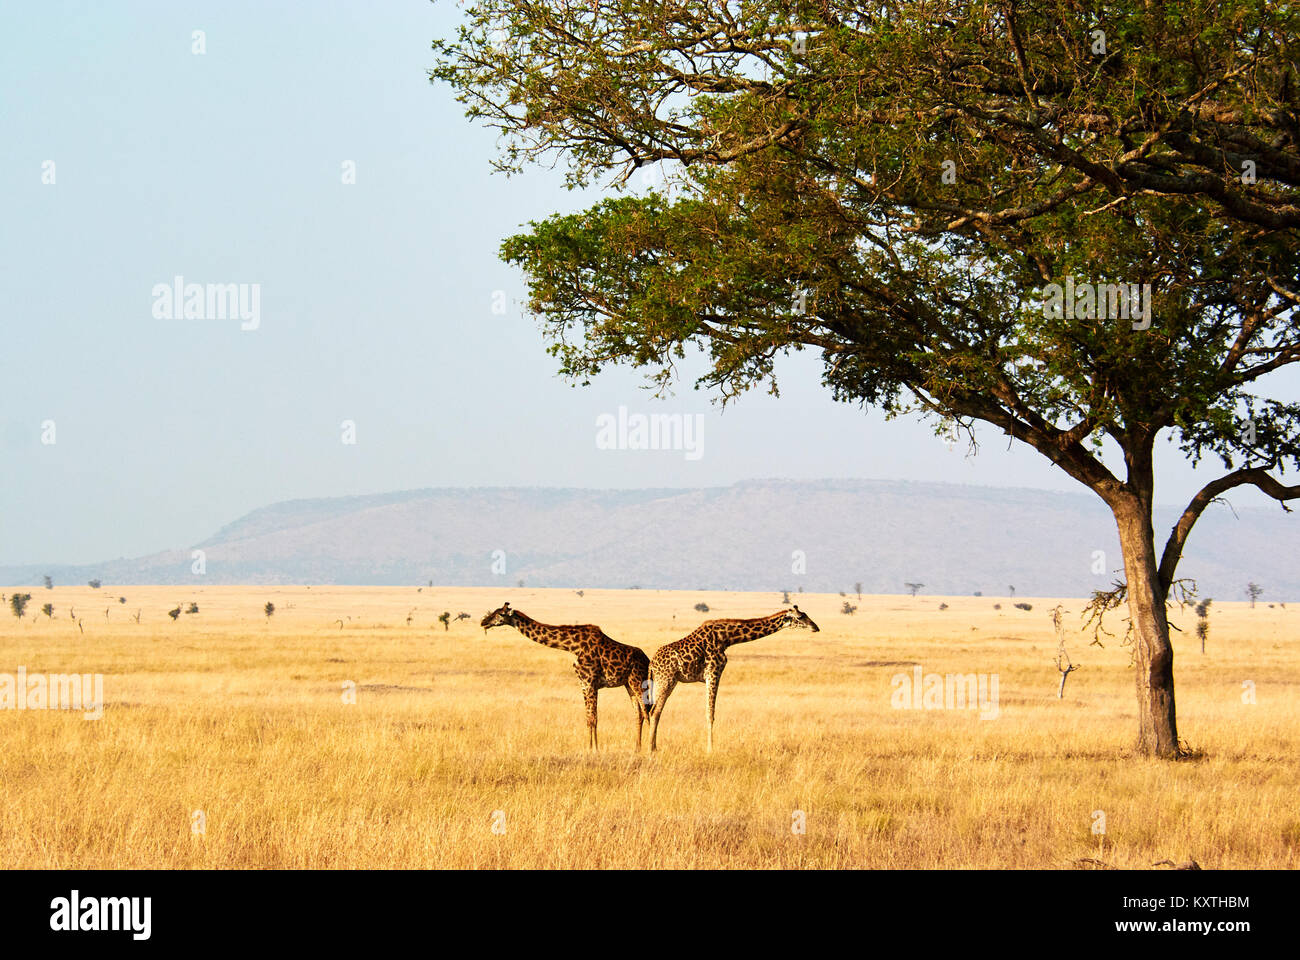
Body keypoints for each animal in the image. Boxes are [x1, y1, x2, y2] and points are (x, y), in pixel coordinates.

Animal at [479, 602, 650, 751]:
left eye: (500, 614)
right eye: (493, 612)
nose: (483, 622)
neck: (572, 646)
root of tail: (647, 660)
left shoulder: (590, 682)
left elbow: (593, 718)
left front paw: (594, 750)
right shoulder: (583, 684)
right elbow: (589, 718)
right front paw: (589, 748)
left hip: (638, 682)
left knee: (647, 712)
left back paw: (650, 749)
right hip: (629, 685)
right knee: (639, 714)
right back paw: (637, 749)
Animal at [647, 606, 820, 752]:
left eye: (805, 614)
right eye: (800, 617)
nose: (816, 627)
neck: (727, 638)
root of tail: (651, 665)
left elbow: (709, 712)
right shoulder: (713, 672)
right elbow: (710, 713)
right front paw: (710, 750)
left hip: (662, 683)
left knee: (653, 711)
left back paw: (652, 747)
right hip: (666, 681)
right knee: (655, 711)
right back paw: (651, 749)